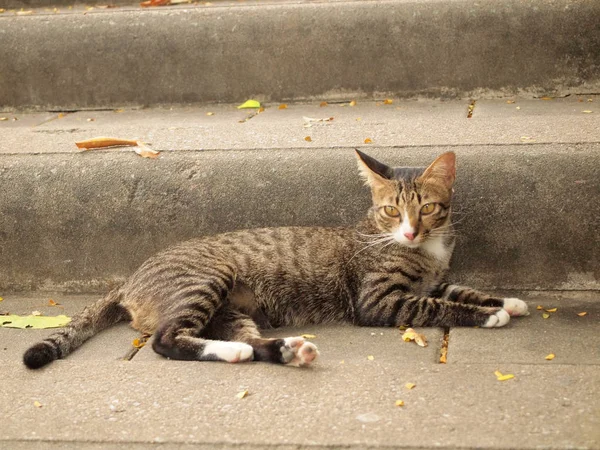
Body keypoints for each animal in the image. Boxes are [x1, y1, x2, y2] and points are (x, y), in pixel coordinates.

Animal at [23, 151, 528, 370]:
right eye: (391, 211)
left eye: (427, 209)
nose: (409, 231)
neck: (424, 250)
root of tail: (129, 280)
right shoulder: (381, 301)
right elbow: (442, 305)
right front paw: (491, 316)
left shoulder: (434, 279)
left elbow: (459, 288)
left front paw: (508, 301)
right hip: (207, 280)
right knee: (165, 340)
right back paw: (243, 351)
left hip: (229, 311)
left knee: (233, 337)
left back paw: (280, 350)